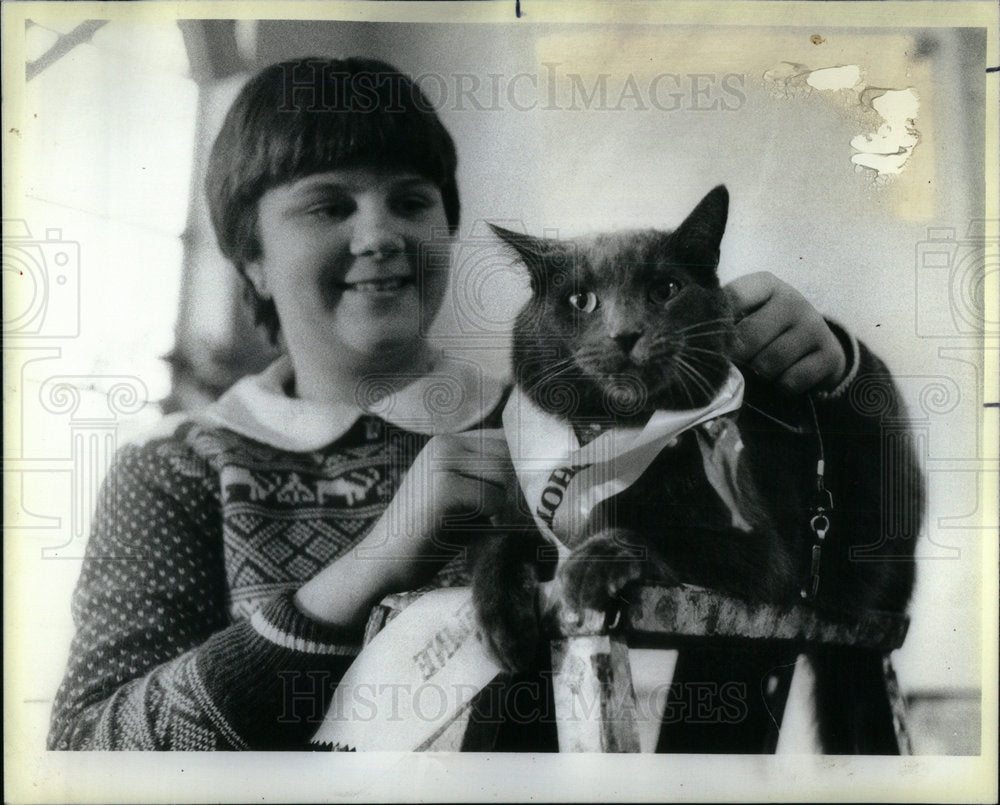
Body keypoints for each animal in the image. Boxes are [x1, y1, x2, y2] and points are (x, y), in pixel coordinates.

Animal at [470, 187, 920, 752]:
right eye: (580, 300)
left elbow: (650, 528)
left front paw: (592, 563)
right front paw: (500, 620)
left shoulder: (766, 555)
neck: (614, 440)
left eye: (666, 289)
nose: (625, 333)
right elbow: (503, 539)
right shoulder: (527, 499)